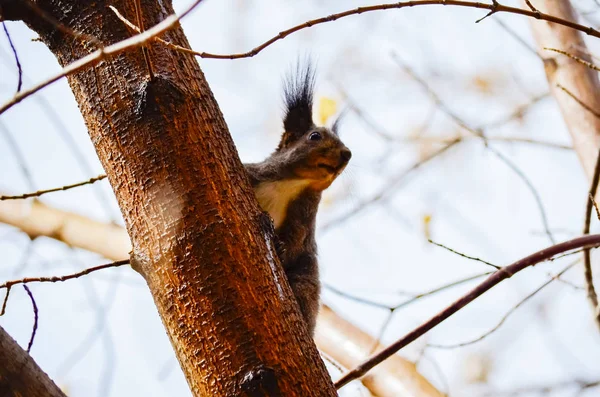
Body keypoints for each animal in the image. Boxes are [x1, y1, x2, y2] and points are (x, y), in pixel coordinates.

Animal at [243, 62, 350, 334]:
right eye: (314, 136)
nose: (347, 154)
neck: (293, 184)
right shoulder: (252, 174)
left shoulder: (303, 217)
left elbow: (296, 240)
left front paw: (281, 249)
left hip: (306, 278)